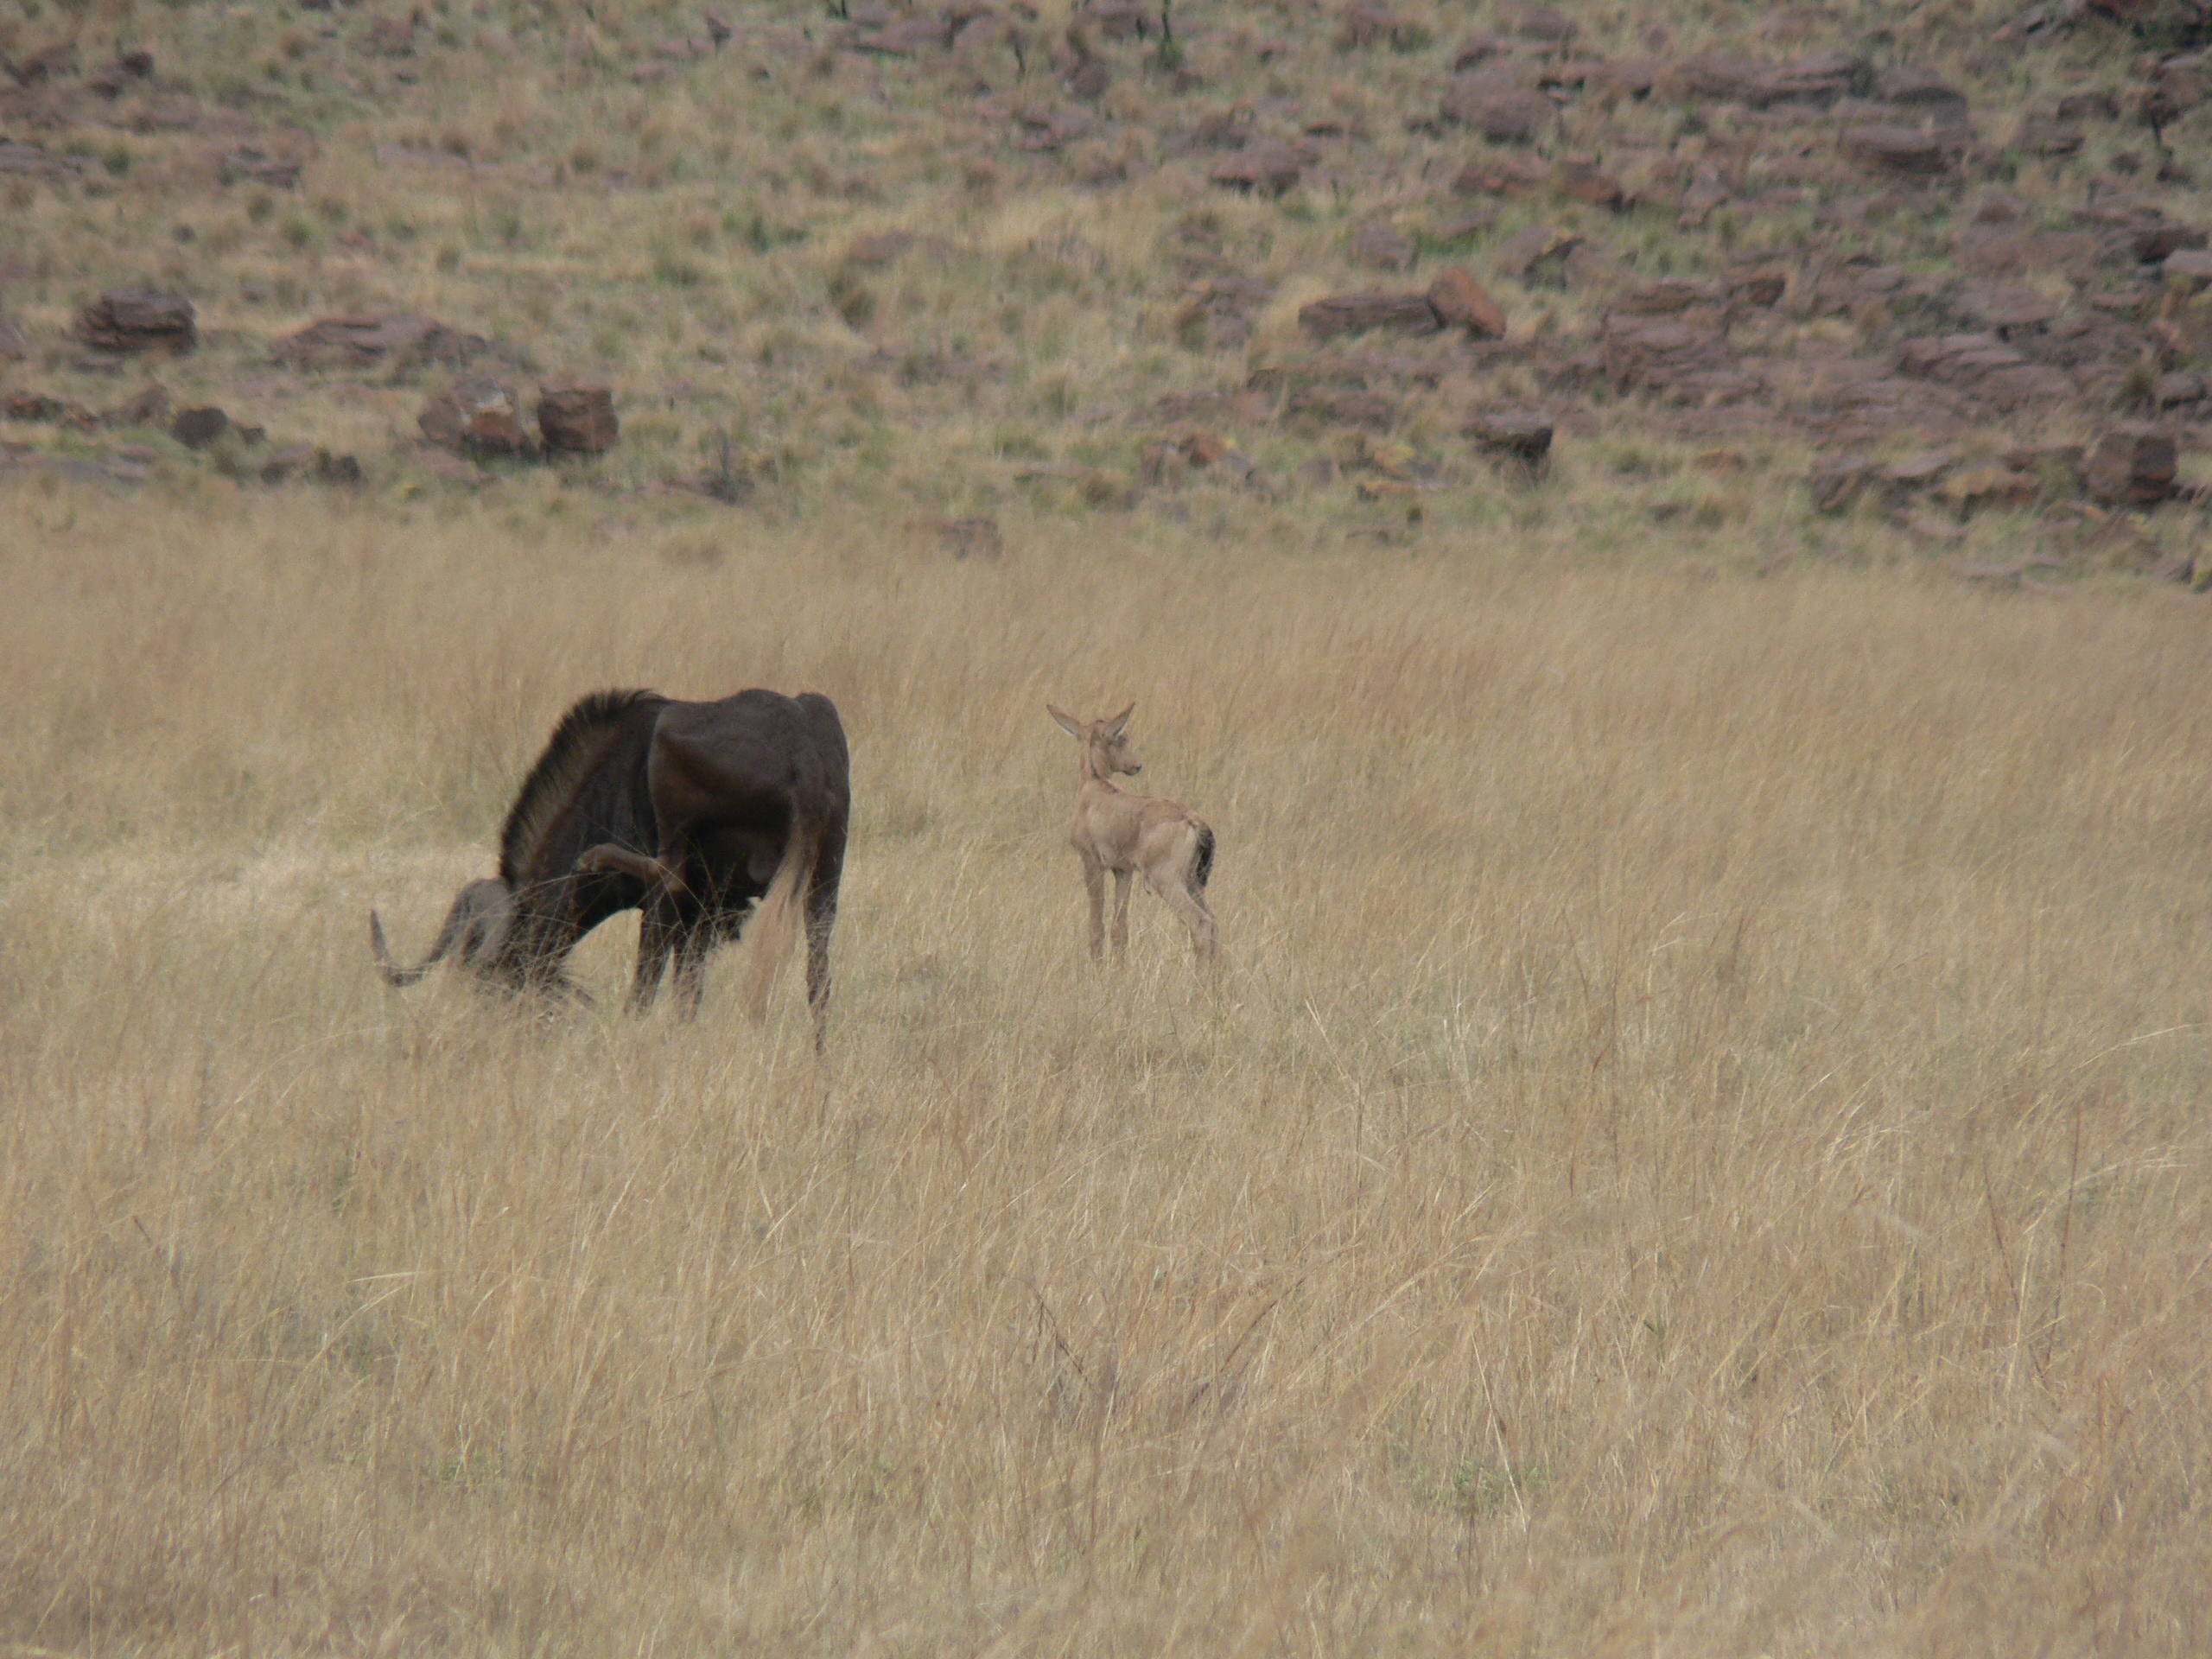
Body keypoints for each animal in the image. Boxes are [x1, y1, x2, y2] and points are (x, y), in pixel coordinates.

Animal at [1044, 703, 1221, 973]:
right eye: (1122, 738)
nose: (1136, 766)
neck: (1096, 786)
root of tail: (1194, 820)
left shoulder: (1092, 864)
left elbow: (1096, 925)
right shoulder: (1123, 871)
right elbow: (1120, 928)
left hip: (1166, 880)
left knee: (1201, 923)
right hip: (1193, 882)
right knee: (1214, 923)